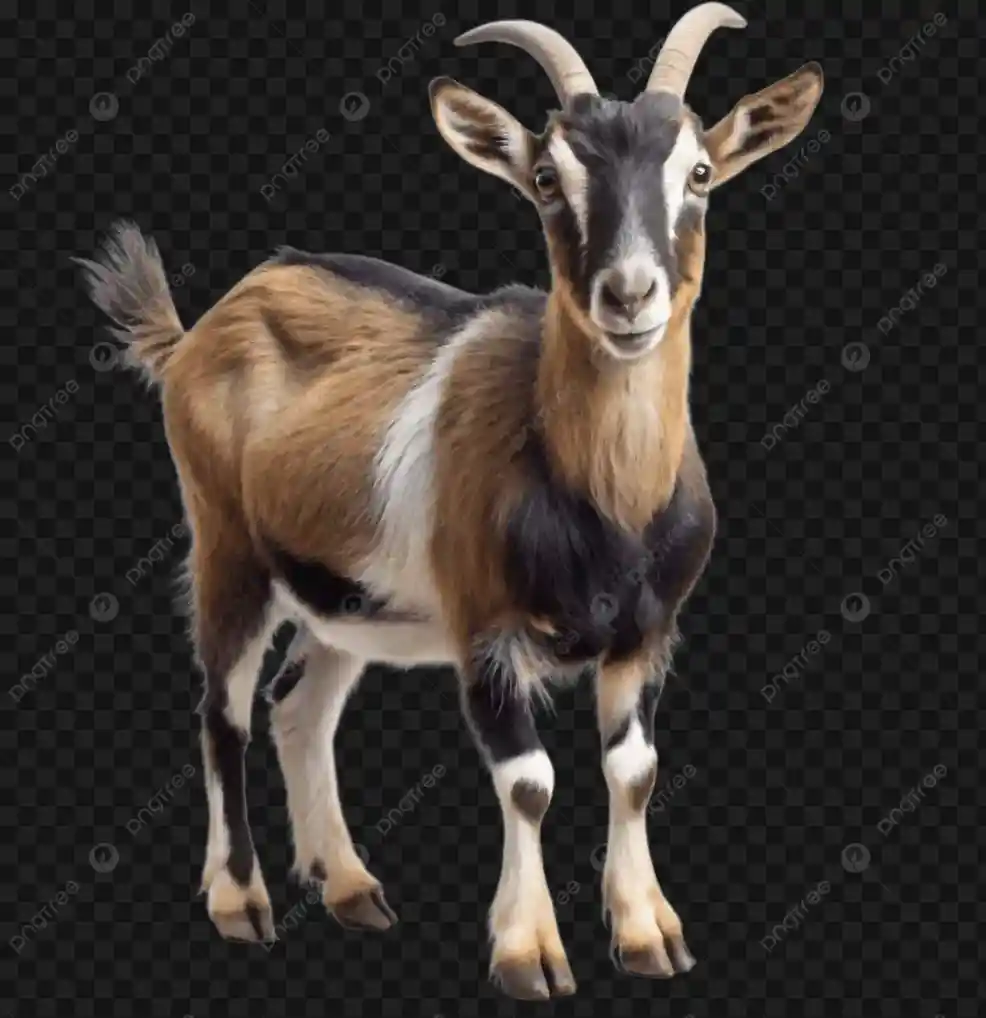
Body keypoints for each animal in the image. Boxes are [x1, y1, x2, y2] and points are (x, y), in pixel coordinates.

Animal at [77, 3, 823, 1000]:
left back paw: (352, 888)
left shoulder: (646, 635)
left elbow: (633, 771)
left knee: (297, 706)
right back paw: (240, 902)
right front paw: (528, 954)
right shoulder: (484, 631)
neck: (609, 510)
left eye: (699, 171)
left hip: (348, 598)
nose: (629, 296)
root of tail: (205, 325)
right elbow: (530, 781)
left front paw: (648, 936)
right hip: (226, 546)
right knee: (221, 711)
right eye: (546, 177)